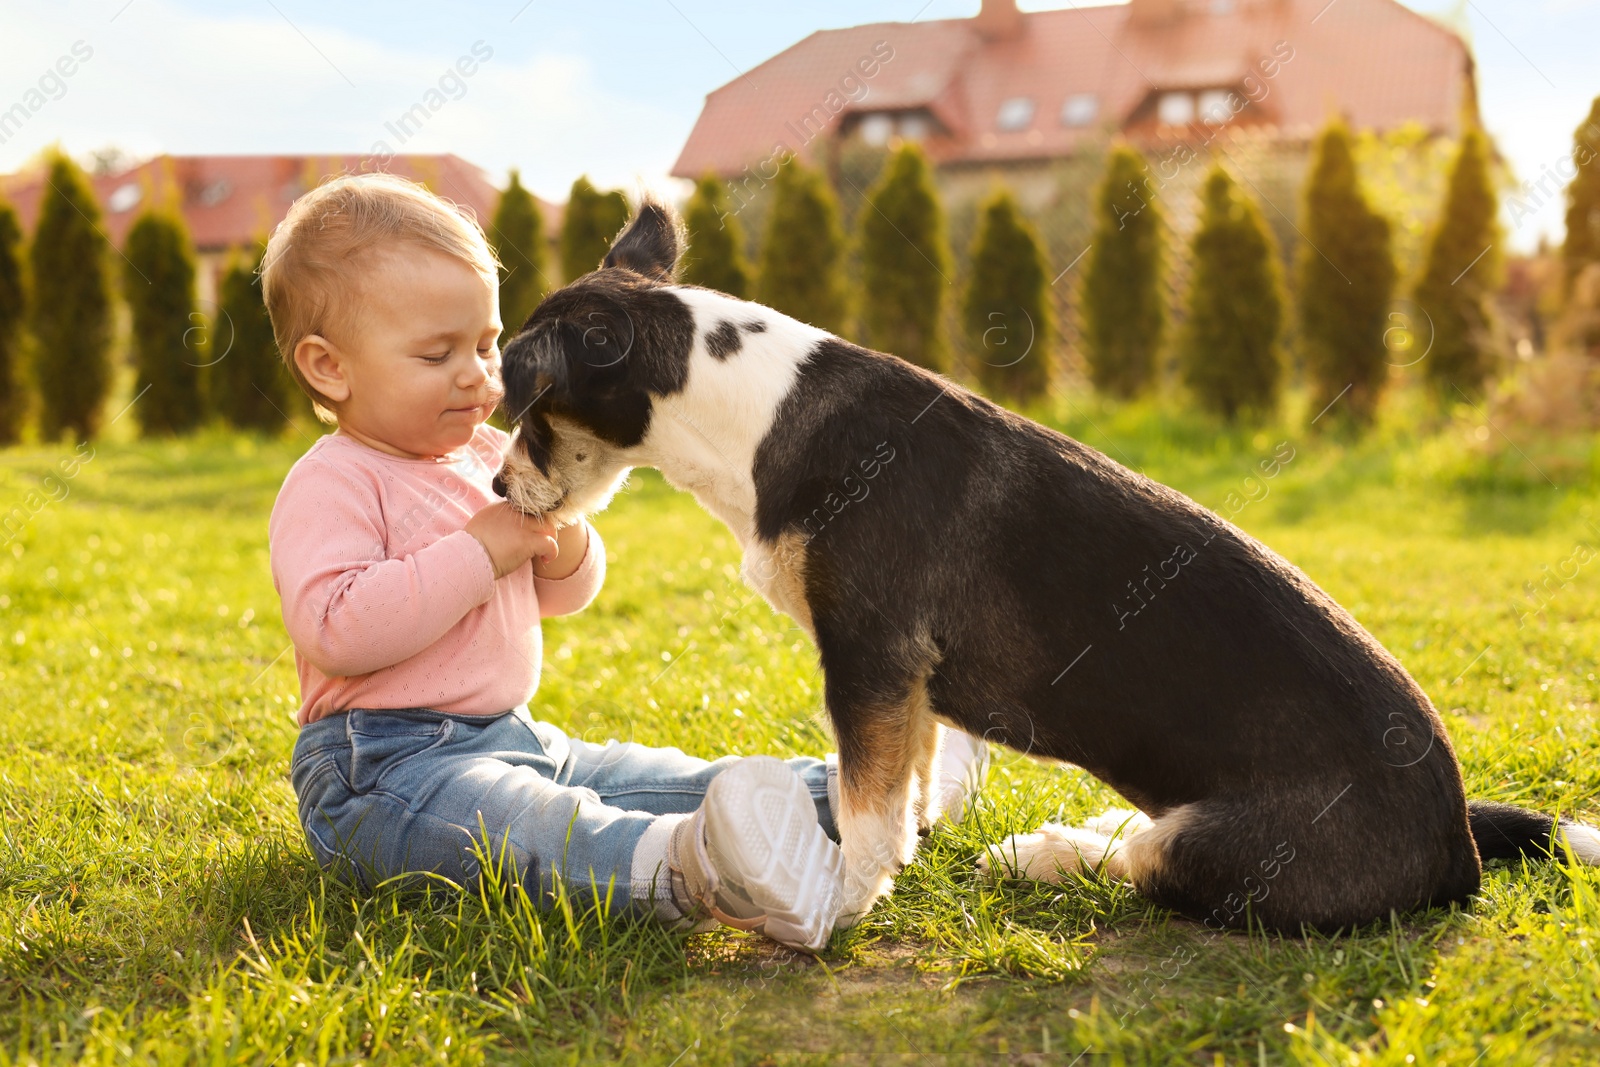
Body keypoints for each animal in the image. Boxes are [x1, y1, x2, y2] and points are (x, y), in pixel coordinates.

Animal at [499, 202, 1600, 934]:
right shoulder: (903, 683)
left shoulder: (867, 655)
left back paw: (1048, 851)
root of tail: (1458, 845)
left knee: (1146, 862)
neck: (745, 415)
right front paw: (907, 852)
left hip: (1227, 850)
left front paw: (840, 906)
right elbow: (909, 787)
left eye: (531, 409)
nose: (503, 487)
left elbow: (866, 810)